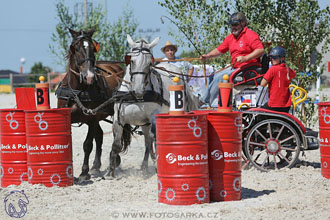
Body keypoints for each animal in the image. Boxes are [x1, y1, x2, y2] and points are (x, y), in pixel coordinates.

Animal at [56, 27, 124, 181]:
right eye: (75, 48)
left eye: (94, 48)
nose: (90, 76)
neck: (78, 91)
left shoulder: (92, 118)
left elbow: (87, 145)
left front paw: (83, 172)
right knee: (100, 136)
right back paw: (96, 166)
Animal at [105, 35, 199, 178]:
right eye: (131, 61)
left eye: (149, 63)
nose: (138, 90)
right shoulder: (118, 119)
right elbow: (116, 144)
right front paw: (110, 172)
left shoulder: (154, 117)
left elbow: (155, 140)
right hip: (144, 124)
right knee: (148, 142)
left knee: (151, 141)